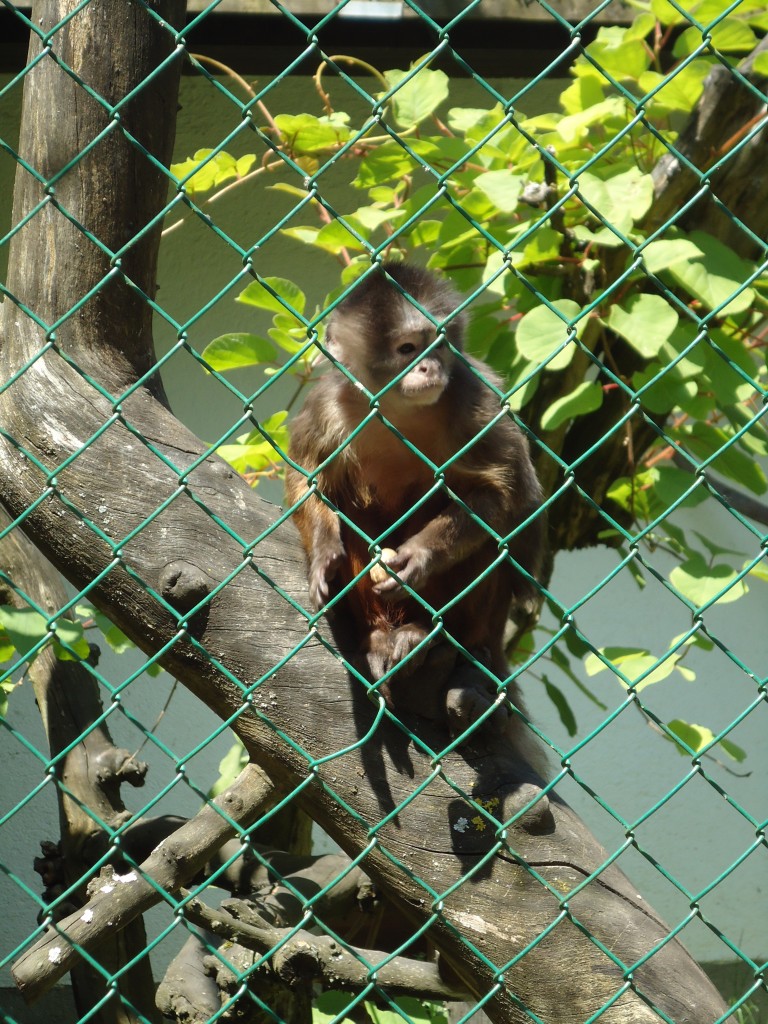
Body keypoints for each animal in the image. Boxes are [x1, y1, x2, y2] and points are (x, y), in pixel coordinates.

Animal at [285, 262, 545, 742]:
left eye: (438, 347)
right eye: (408, 349)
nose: (429, 367)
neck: (396, 410)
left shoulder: (471, 398)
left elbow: (507, 497)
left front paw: (417, 558)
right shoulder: (328, 403)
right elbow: (307, 478)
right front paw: (325, 553)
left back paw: (429, 634)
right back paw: (382, 639)